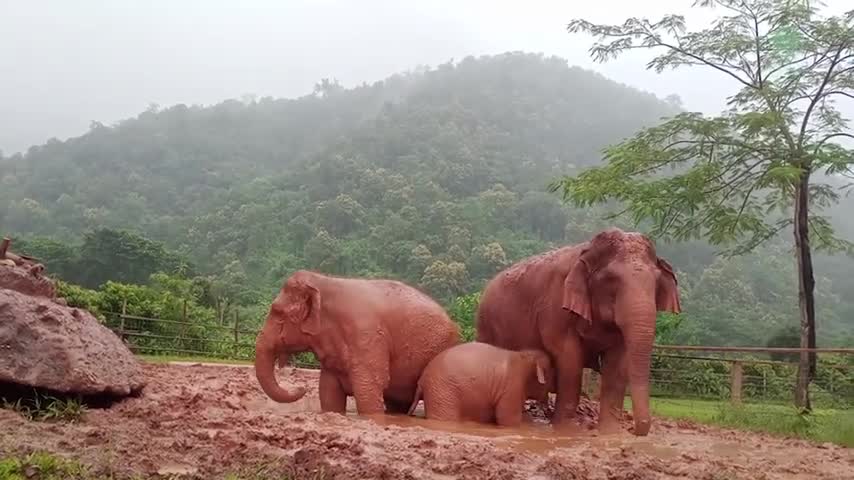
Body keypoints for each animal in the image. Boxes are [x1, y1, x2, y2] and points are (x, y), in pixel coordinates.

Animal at [256, 270, 462, 416]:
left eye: (277, 312)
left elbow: (369, 390)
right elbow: (328, 393)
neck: (325, 281)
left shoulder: (367, 335)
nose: (302, 387)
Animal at [408, 342, 556, 428]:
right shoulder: (511, 386)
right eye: (551, 375)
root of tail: (421, 381)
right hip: (442, 392)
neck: (524, 356)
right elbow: (508, 420)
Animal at [474, 228, 684, 436]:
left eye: (656, 283)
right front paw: (566, 430)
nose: (634, 429)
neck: (587, 250)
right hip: (487, 324)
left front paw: (610, 433)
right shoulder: (555, 306)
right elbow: (570, 357)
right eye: (611, 279)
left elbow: (617, 363)